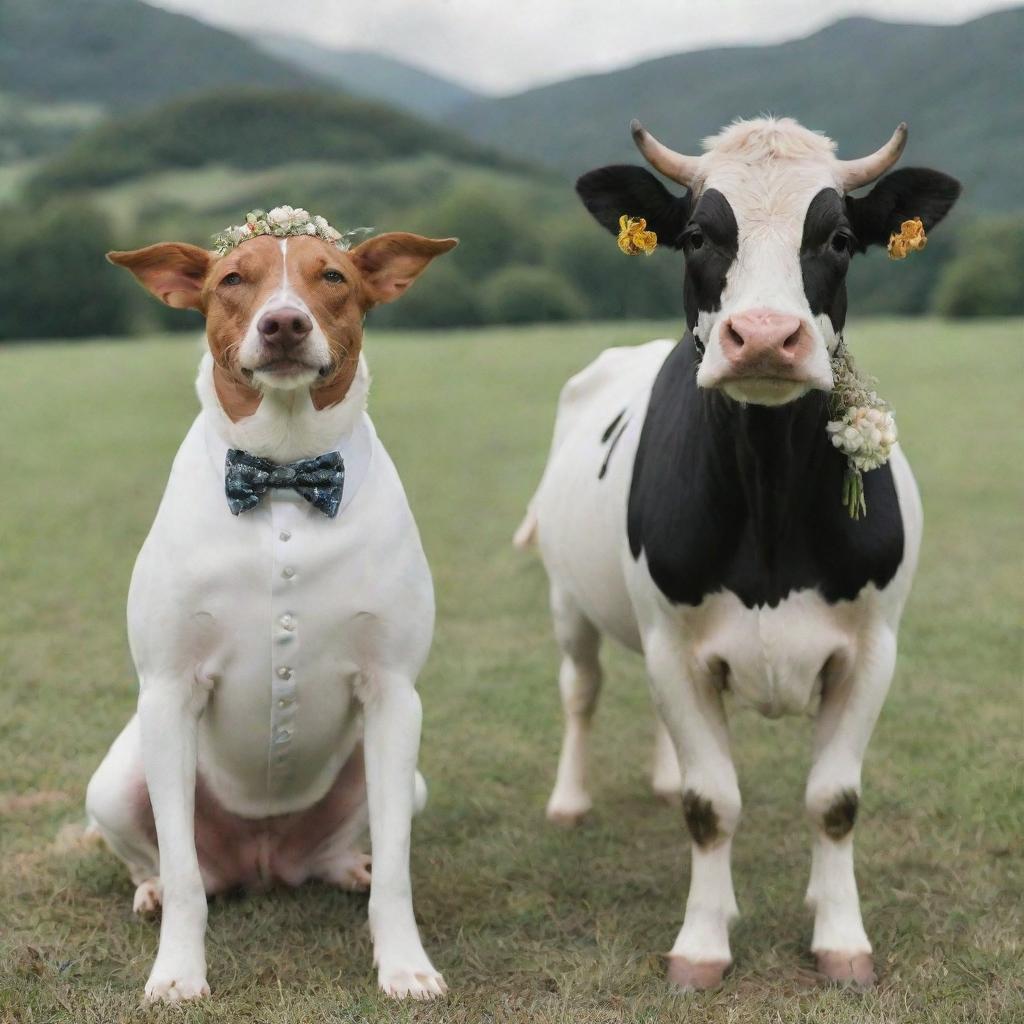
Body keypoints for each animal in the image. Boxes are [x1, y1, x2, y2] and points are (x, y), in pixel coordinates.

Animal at [88, 207, 456, 999]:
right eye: (233, 279)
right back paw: (152, 888)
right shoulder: (168, 691)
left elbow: (400, 874)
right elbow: (184, 876)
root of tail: (262, 863)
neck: (285, 473)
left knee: (352, 844)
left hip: (393, 776)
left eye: (333, 277)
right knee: (167, 860)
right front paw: (177, 974)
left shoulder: (394, 695)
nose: (283, 323)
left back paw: (346, 865)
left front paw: (406, 966)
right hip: (117, 781)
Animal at [516, 116, 962, 987]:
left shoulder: (873, 649)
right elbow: (711, 805)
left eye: (840, 238)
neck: (769, 498)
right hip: (568, 602)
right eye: (696, 235)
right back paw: (568, 800)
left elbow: (833, 801)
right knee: (581, 691)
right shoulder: (674, 647)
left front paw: (841, 938)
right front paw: (701, 943)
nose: (761, 338)